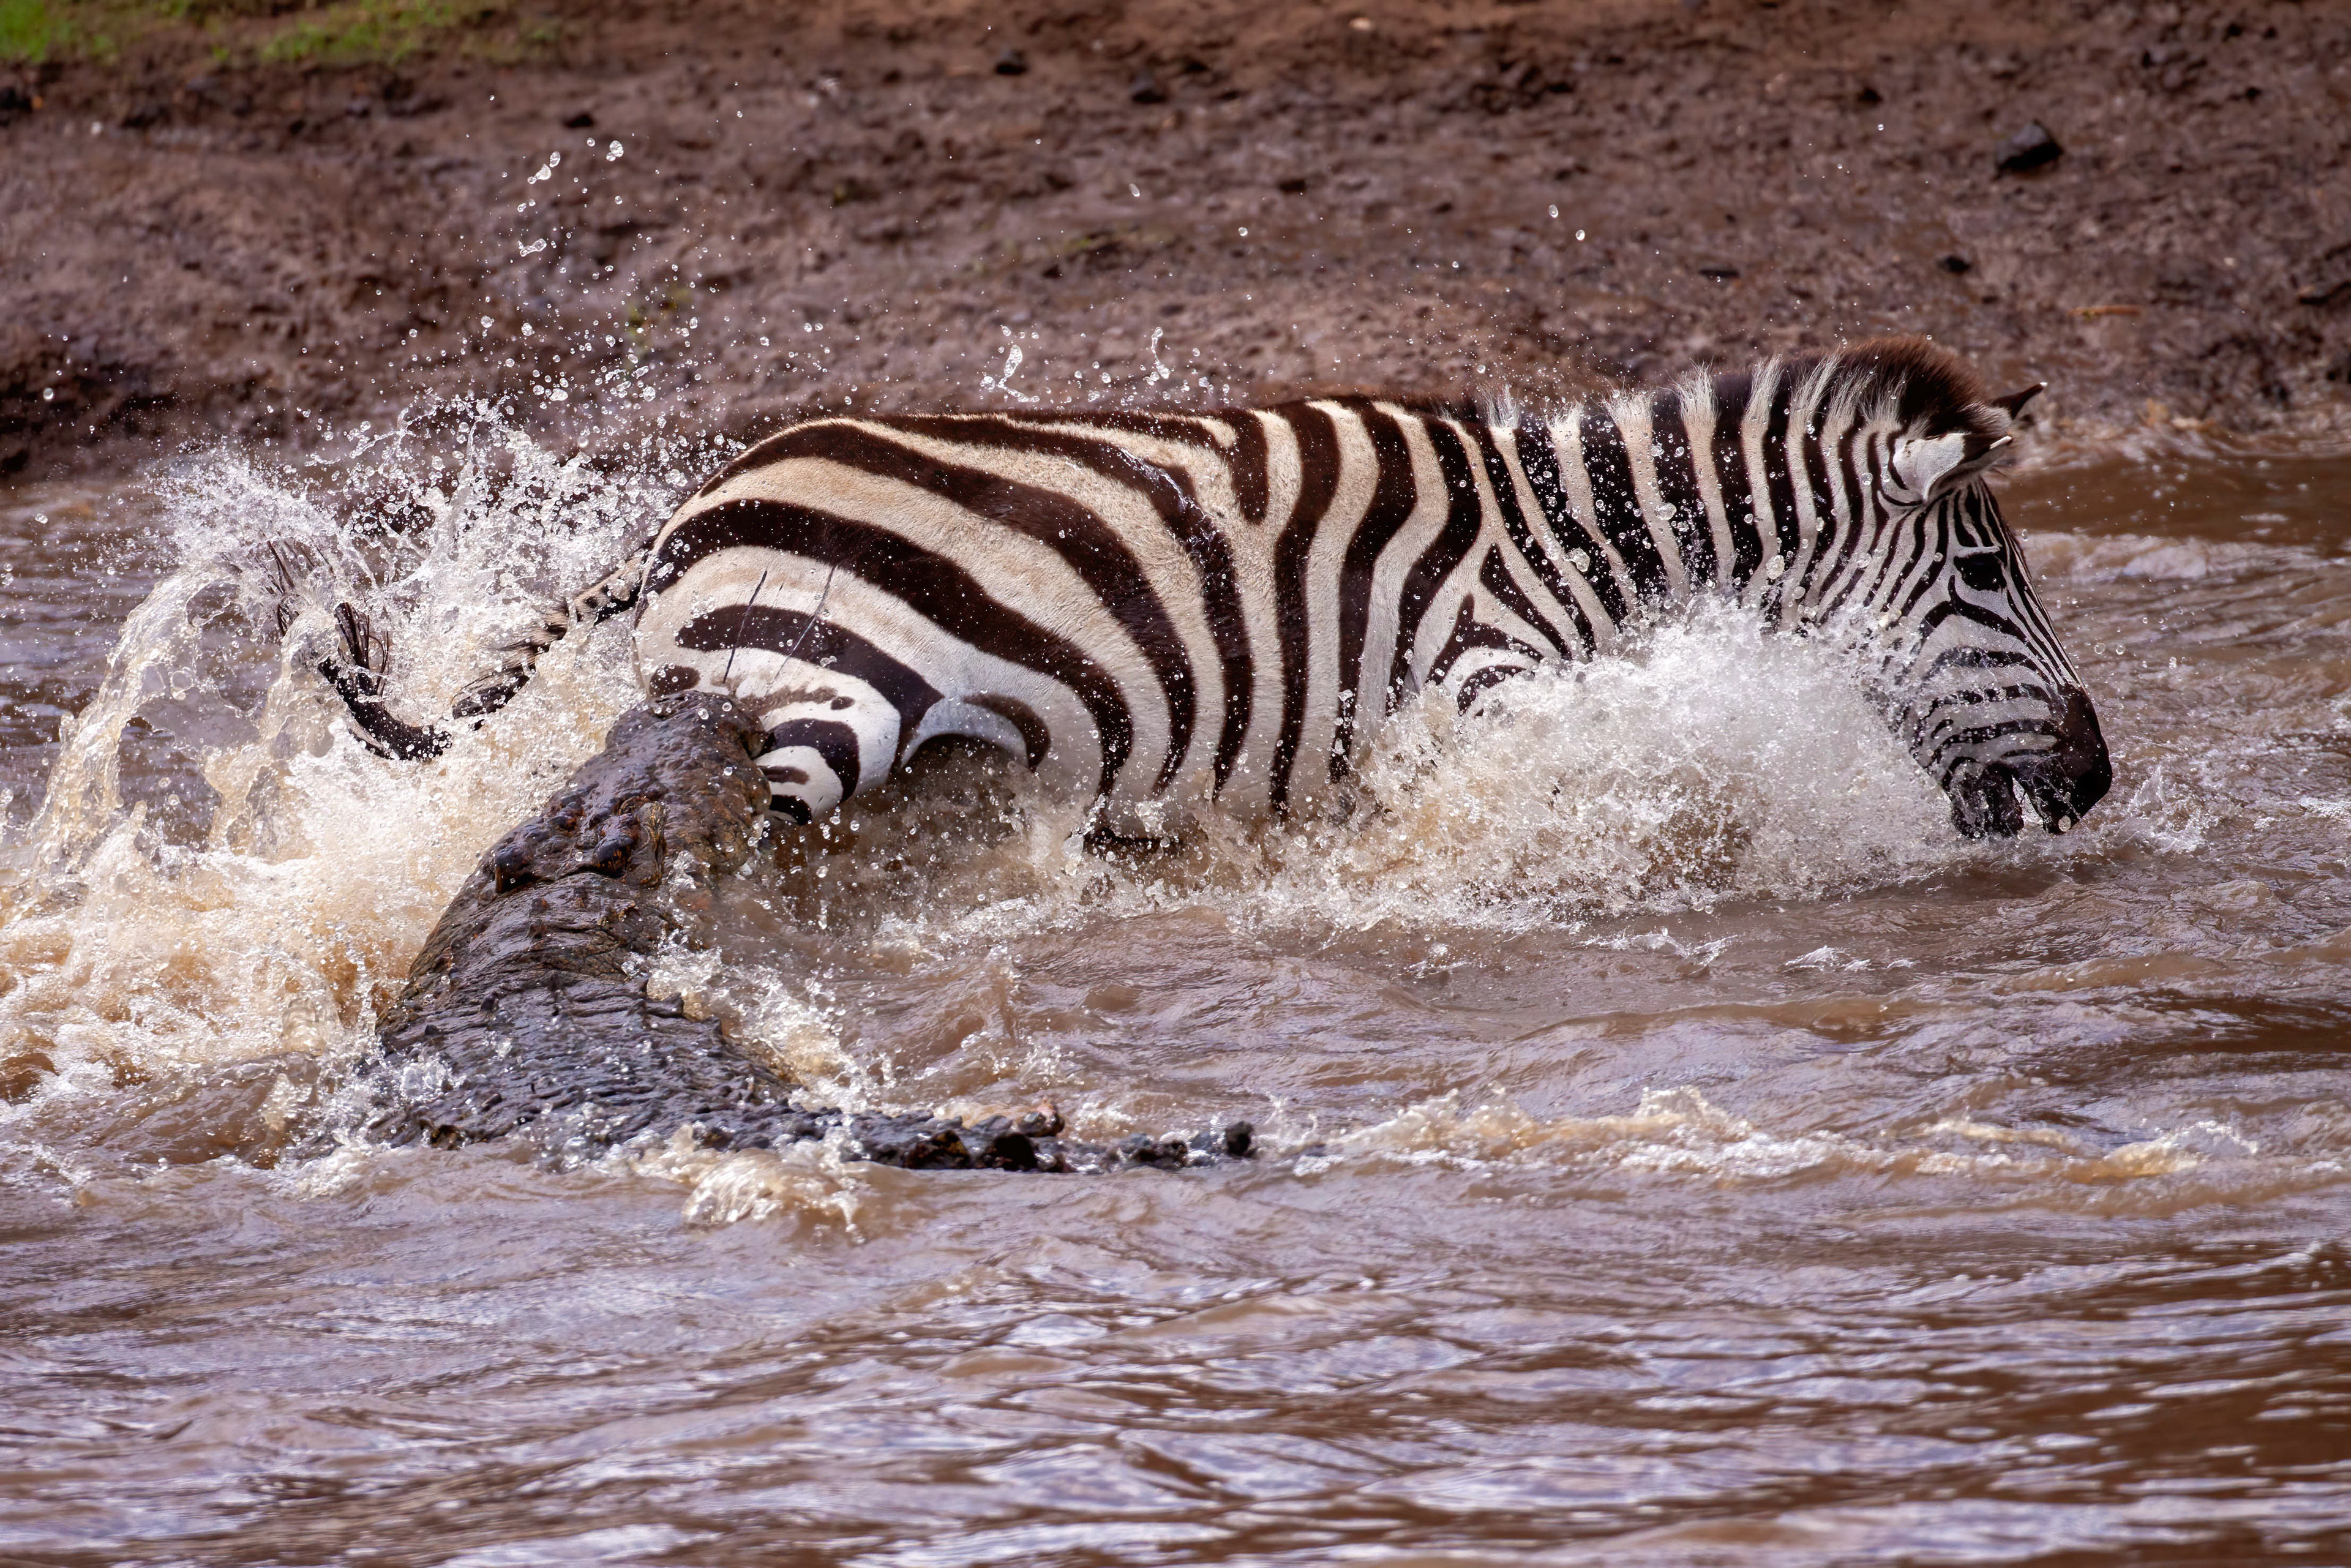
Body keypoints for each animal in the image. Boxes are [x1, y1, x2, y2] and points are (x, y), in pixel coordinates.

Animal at [319, 336, 2111, 843]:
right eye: (1984, 570)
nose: (2098, 777)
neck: (1570, 548)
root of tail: (692, 506)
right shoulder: (1486, 691)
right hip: (821, 700)